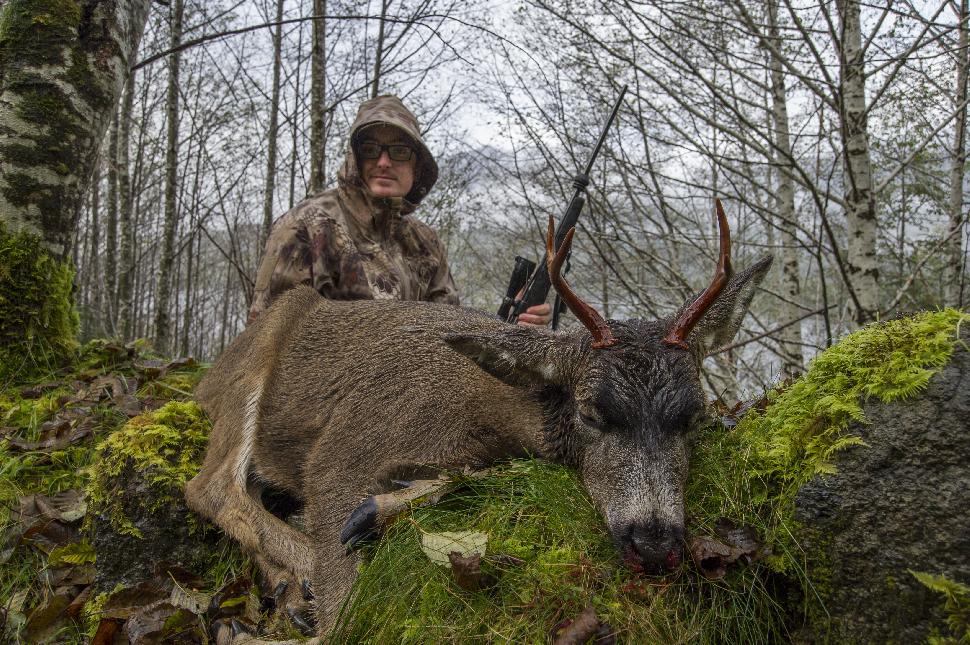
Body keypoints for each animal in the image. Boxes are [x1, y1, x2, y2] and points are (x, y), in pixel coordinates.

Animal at [185, 199, 768, 636]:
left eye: (693, 416)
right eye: (591, 413)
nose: (653, 543)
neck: (493, 411)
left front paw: (389, 504)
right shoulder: (346, 446)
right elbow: (344, 600)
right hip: (256, 362)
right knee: (210, 487)